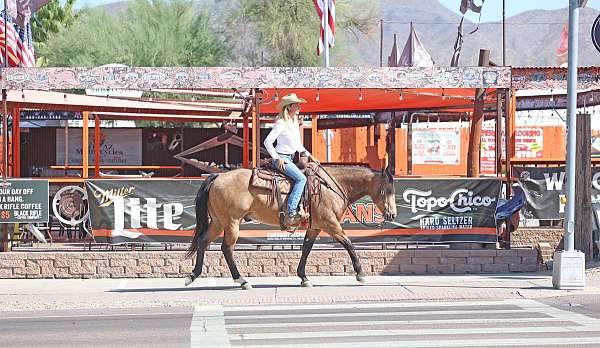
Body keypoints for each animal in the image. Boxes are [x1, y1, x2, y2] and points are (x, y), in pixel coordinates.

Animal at [185, 164, 396, 290]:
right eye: (388, 190)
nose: (392, 214)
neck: (333, 187)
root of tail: (217, 177)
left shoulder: (315, 227)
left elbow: (306, 249)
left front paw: (303, 277)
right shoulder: (330, 224)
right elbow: (349, 243)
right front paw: (360, 274)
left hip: (218, 222)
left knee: (203, 242)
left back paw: (193, 275)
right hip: (232, 222)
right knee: (227, 248)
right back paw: (242, 280)